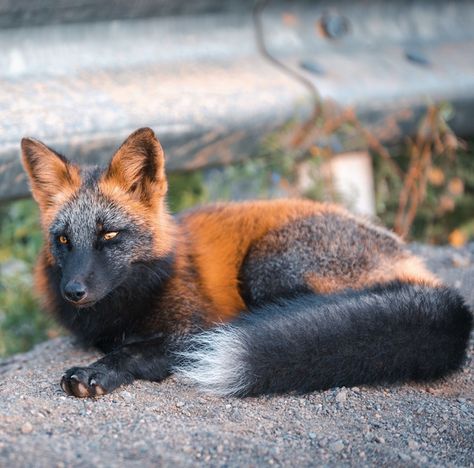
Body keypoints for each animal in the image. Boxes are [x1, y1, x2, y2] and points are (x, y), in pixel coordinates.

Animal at [21, 128, 470, 398]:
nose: (73, 291)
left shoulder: (195, 328)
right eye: (63, 240)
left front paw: (97, 371)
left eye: (109, 235)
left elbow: (134, 352)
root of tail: (416, 266)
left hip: (265, 267)